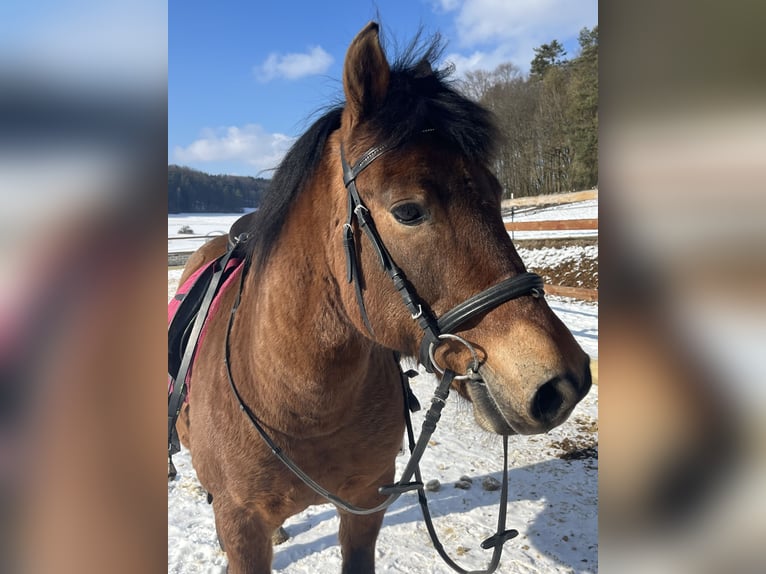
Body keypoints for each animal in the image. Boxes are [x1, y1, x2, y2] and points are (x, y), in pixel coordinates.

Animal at [174, 21, 592, 572]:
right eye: (408, 211)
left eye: (496, 192)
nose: (562, 382)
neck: (299, 399)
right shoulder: (243, 527)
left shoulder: (365, 507)